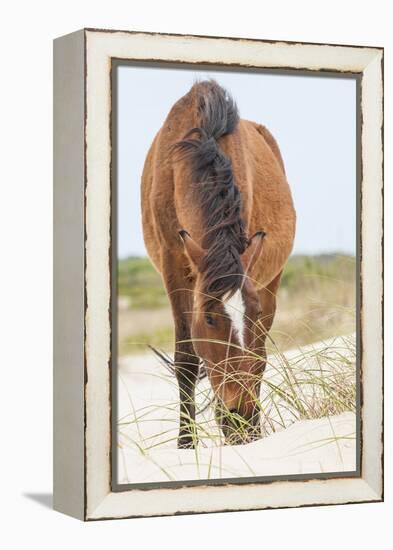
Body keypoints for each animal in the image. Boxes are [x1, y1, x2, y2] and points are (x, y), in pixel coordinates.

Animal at [141, 81, 294, 448]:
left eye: (251, 312)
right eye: (210, 320)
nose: (241, 417)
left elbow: (255, 355)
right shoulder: (173, 264)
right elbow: (186, 359)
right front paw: (185, 444)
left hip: (272, 281)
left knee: (261, 354)